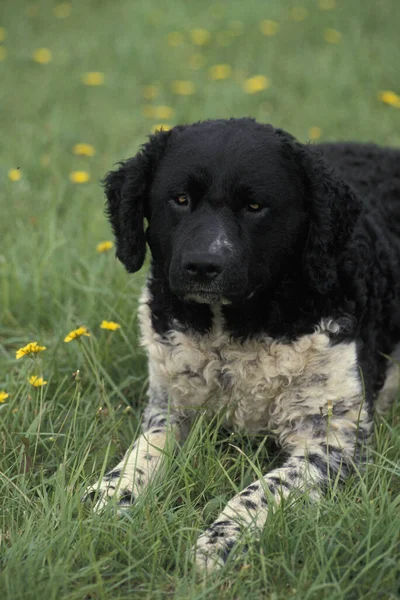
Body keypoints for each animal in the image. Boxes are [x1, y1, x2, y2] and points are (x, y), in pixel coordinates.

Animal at [86, 118, 400, 572]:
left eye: (255, 207)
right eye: (180, 199)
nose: (202, 265)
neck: (233, 335)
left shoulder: (332, 438)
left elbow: (262, 490)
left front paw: (221, 539)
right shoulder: (170, 406)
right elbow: (140, 455)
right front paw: (110, 497)